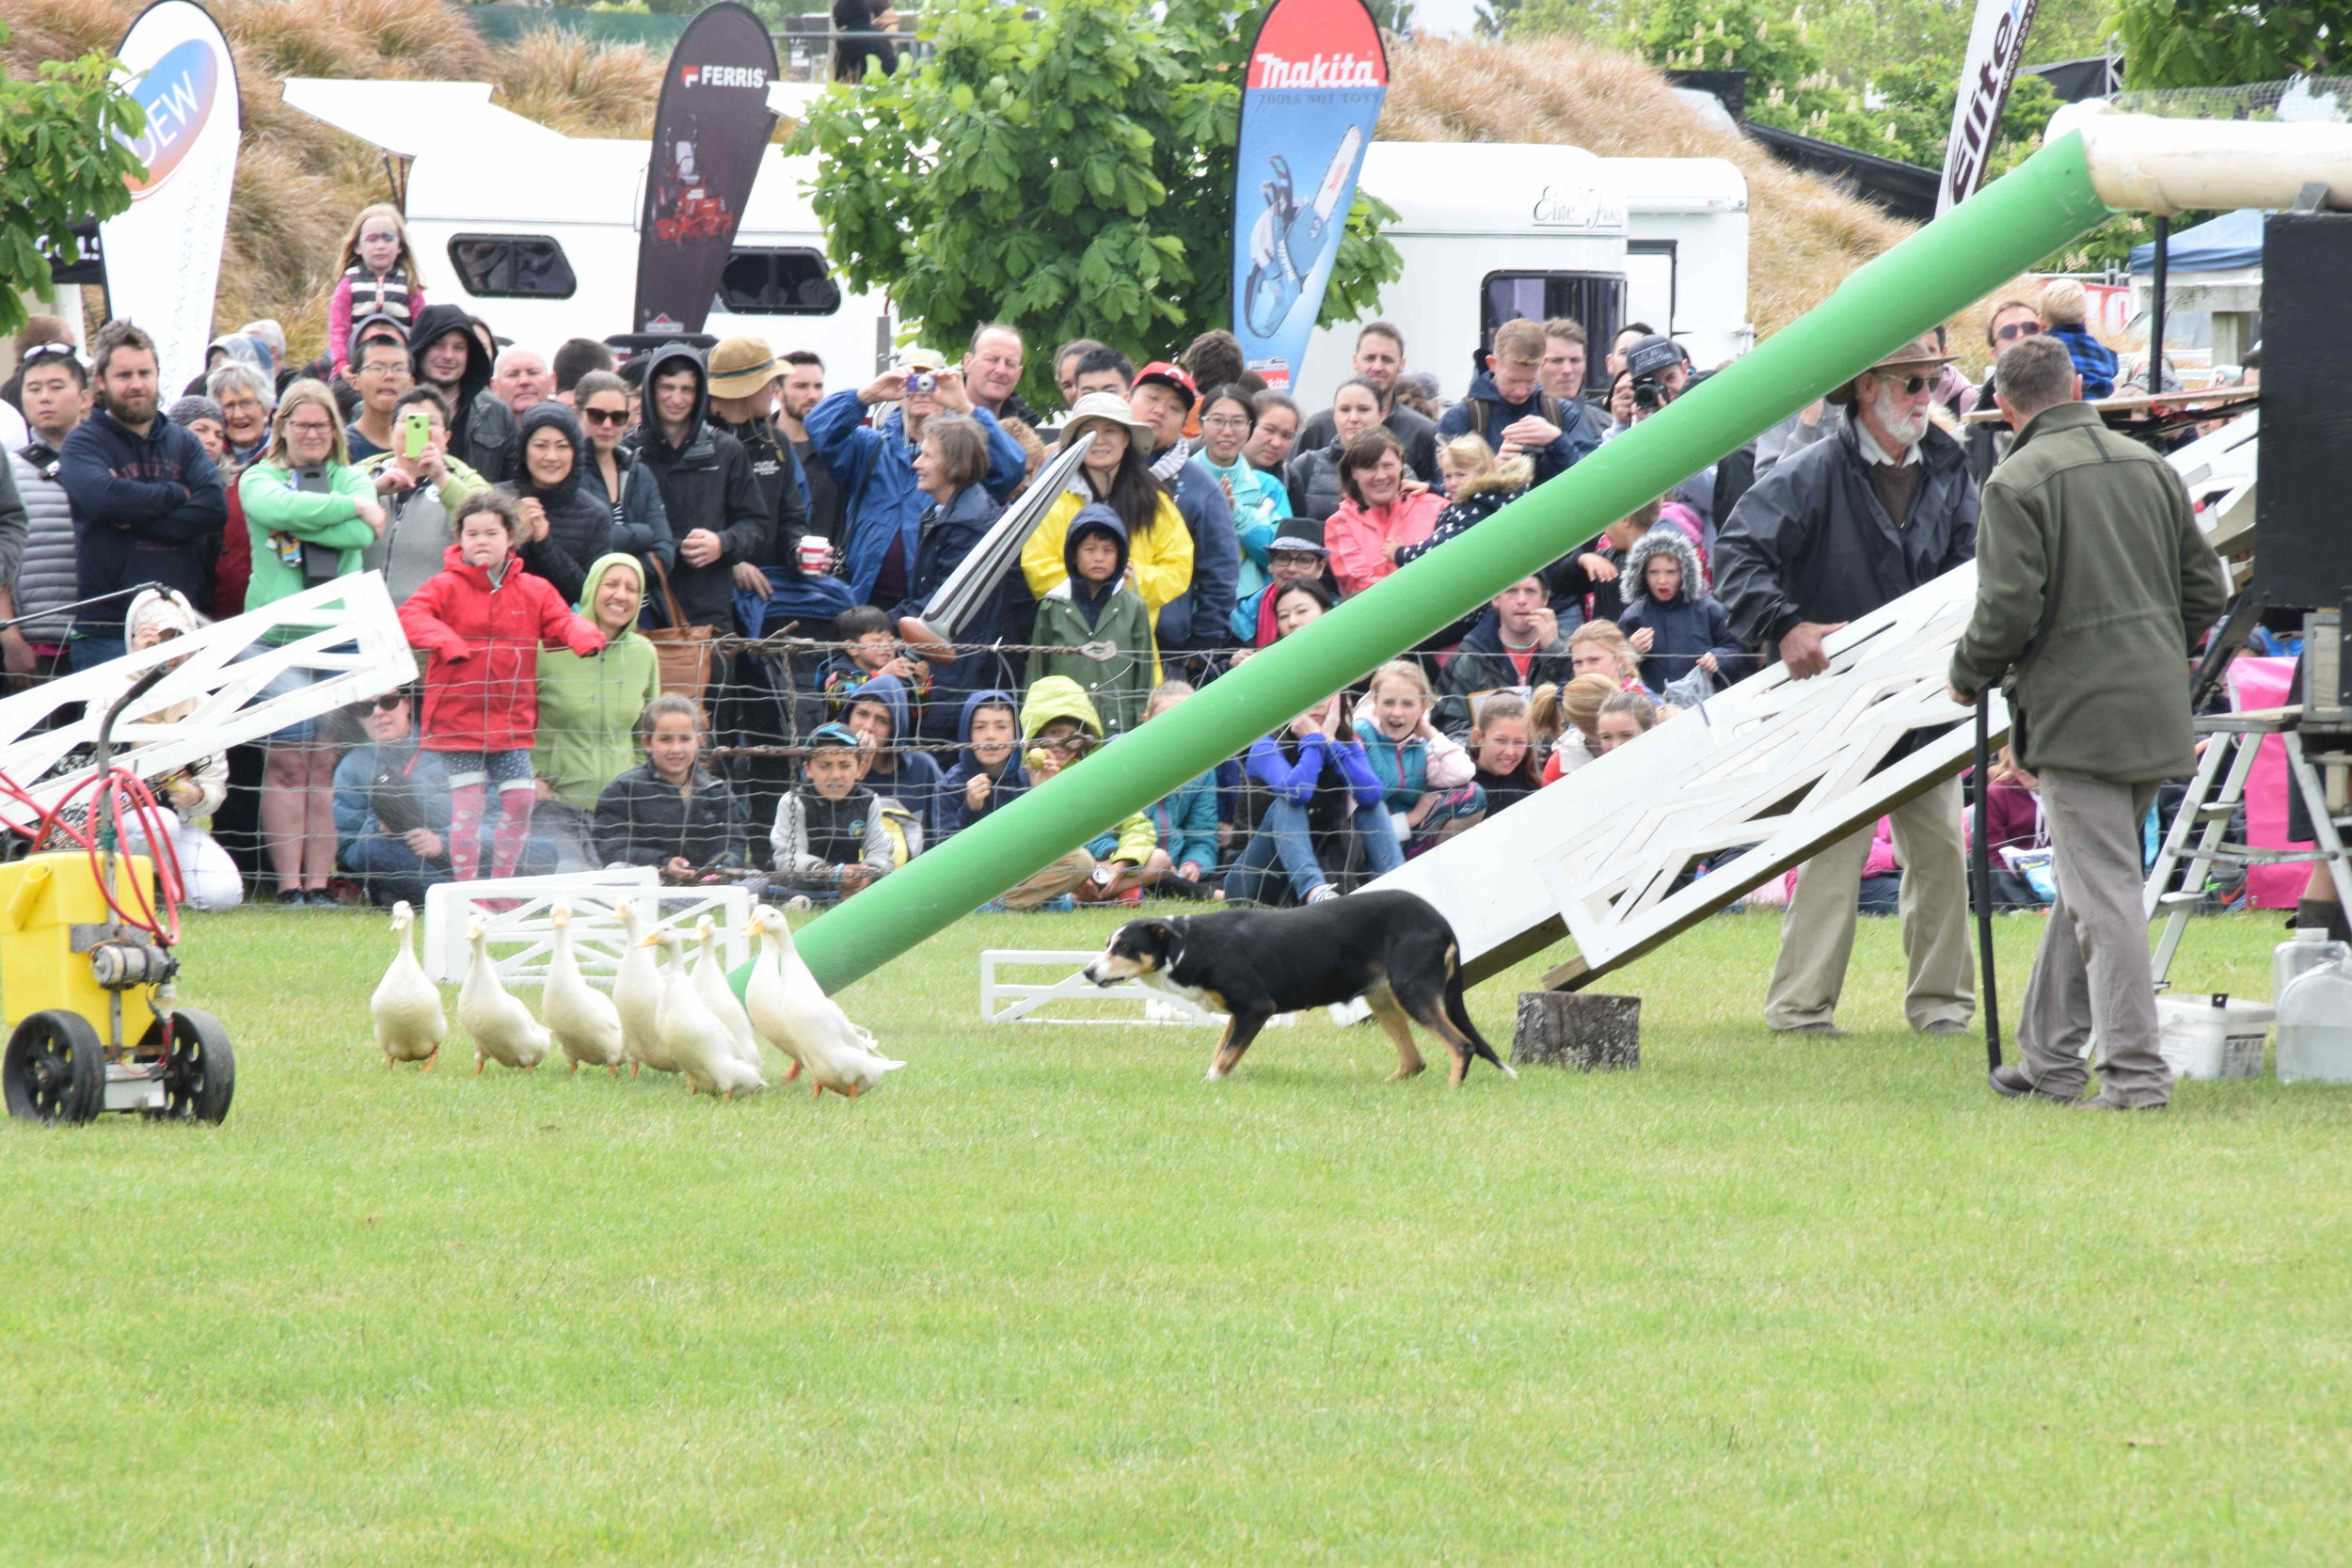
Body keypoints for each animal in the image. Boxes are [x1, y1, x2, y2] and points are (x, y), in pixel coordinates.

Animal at [1077, 888, 1505, 1085]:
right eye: (1107, 944)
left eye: (1124, 948)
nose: (1087, 972)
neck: (1189, 945)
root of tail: (1439, 920)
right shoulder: (1238, 1015)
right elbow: (1222, 1050)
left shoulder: (1256, 1008)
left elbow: (1224, 1058)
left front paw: (1212, 1083)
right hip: (1383, 997)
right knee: (1414, 1061)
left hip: (1412, 991)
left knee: (1461, 1045)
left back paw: (1451, 1089)